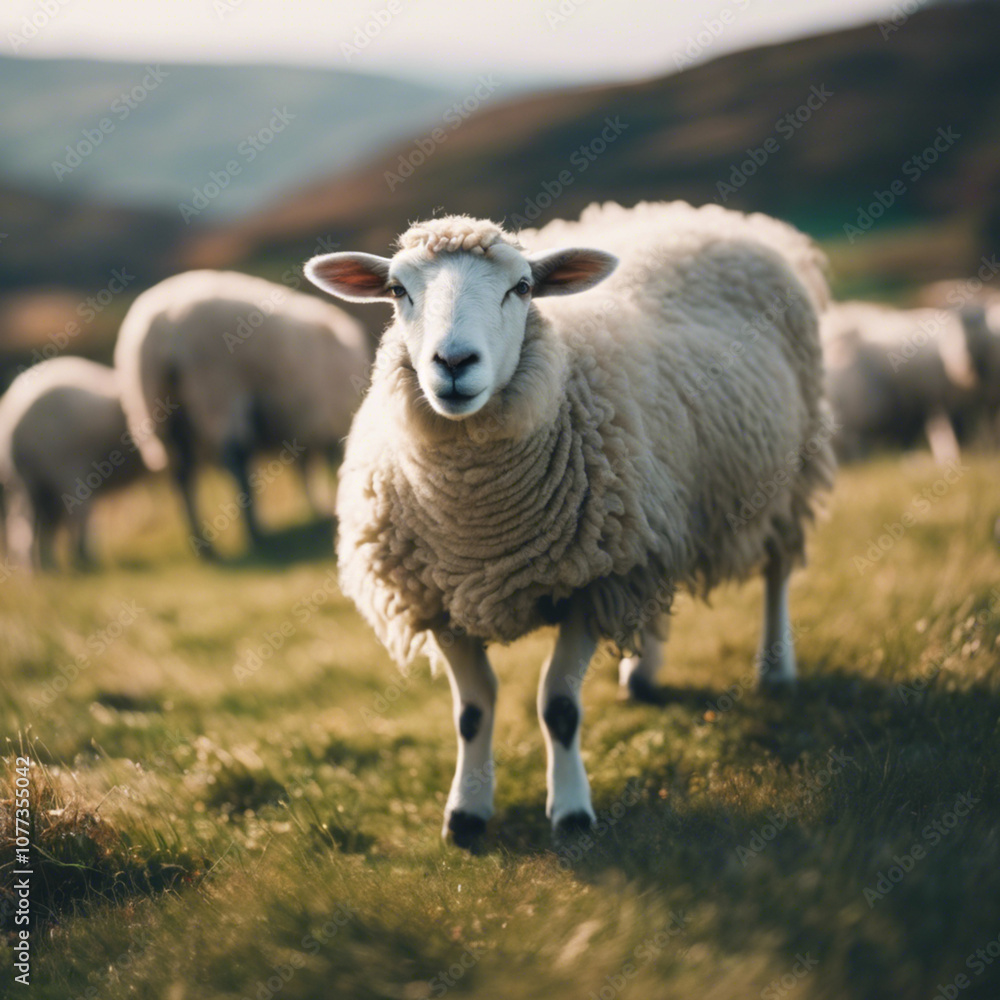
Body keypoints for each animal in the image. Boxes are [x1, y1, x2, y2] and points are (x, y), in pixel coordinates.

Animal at [113, 270, 371, 556]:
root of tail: (164, 327)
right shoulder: (317, 421)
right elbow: (315, 467)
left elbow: (305, 468)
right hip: (218, 389)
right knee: (234, 458)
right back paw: (255, 532)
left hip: (158, 411)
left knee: (183, 473)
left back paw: (203, 544)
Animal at [304, 201, 835, 845]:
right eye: (397, 290)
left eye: (522, 288)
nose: (453, 363)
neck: (480, 527)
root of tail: (717, 217)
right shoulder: (441, 600)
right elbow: (472, 712)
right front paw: (466, 813)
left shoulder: (592, 581)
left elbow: (558, 706)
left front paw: (573, 811)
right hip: (652, 525)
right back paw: (642, 673)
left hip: (787, 474)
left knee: (778, 569)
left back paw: (776, 668)